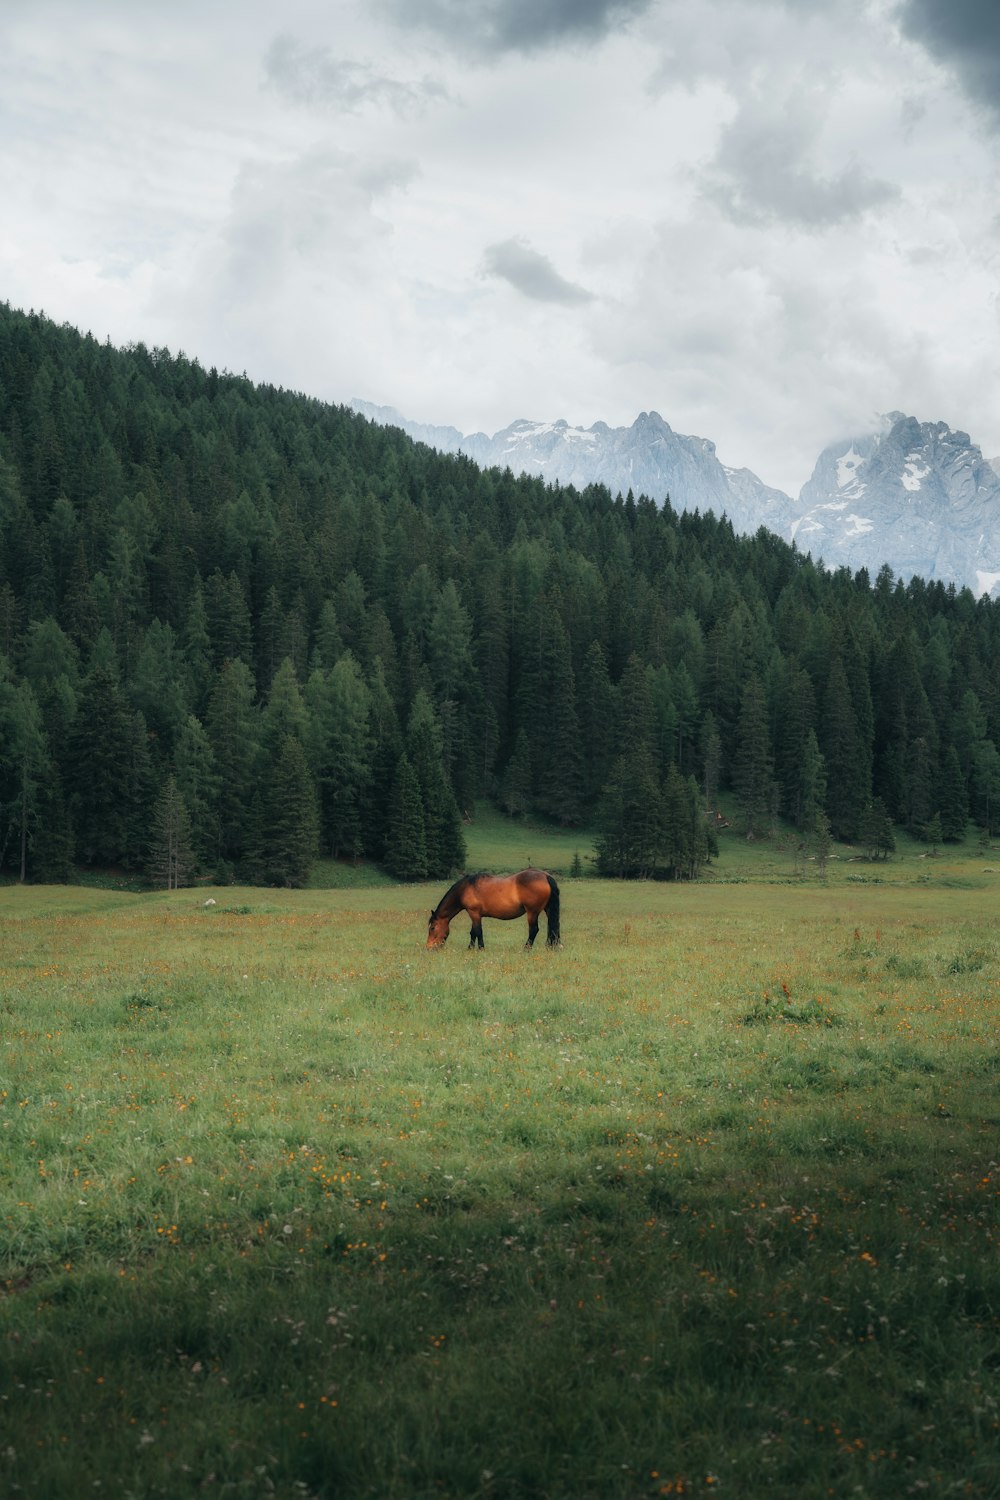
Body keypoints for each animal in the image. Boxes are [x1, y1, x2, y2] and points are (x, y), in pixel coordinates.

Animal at [425, 870, 560, 948]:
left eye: (432, 928)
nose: (429, 947)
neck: (465, 888)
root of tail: (545, 876)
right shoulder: (475, 914)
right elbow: (474, 931)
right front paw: (471, 948)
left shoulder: (474, 913)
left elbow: (477, 931)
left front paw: (479, 948)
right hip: (547, 910)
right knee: (552, 927)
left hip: (532, 912)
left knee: (534, 930)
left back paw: (526, 948)